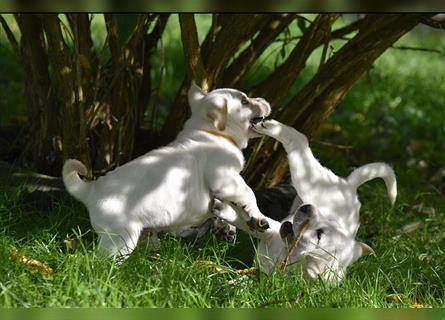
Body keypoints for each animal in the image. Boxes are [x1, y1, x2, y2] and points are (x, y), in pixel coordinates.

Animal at [213, 119, 398, 284]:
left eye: (319, 235)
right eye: (330, 222)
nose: (307, 207)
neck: (285, 254)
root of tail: (349, 186)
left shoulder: (274, 238)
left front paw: (222, 210)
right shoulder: (274, 229)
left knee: (300, 141)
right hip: (308, 181)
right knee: (300, 140)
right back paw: (268, 126)